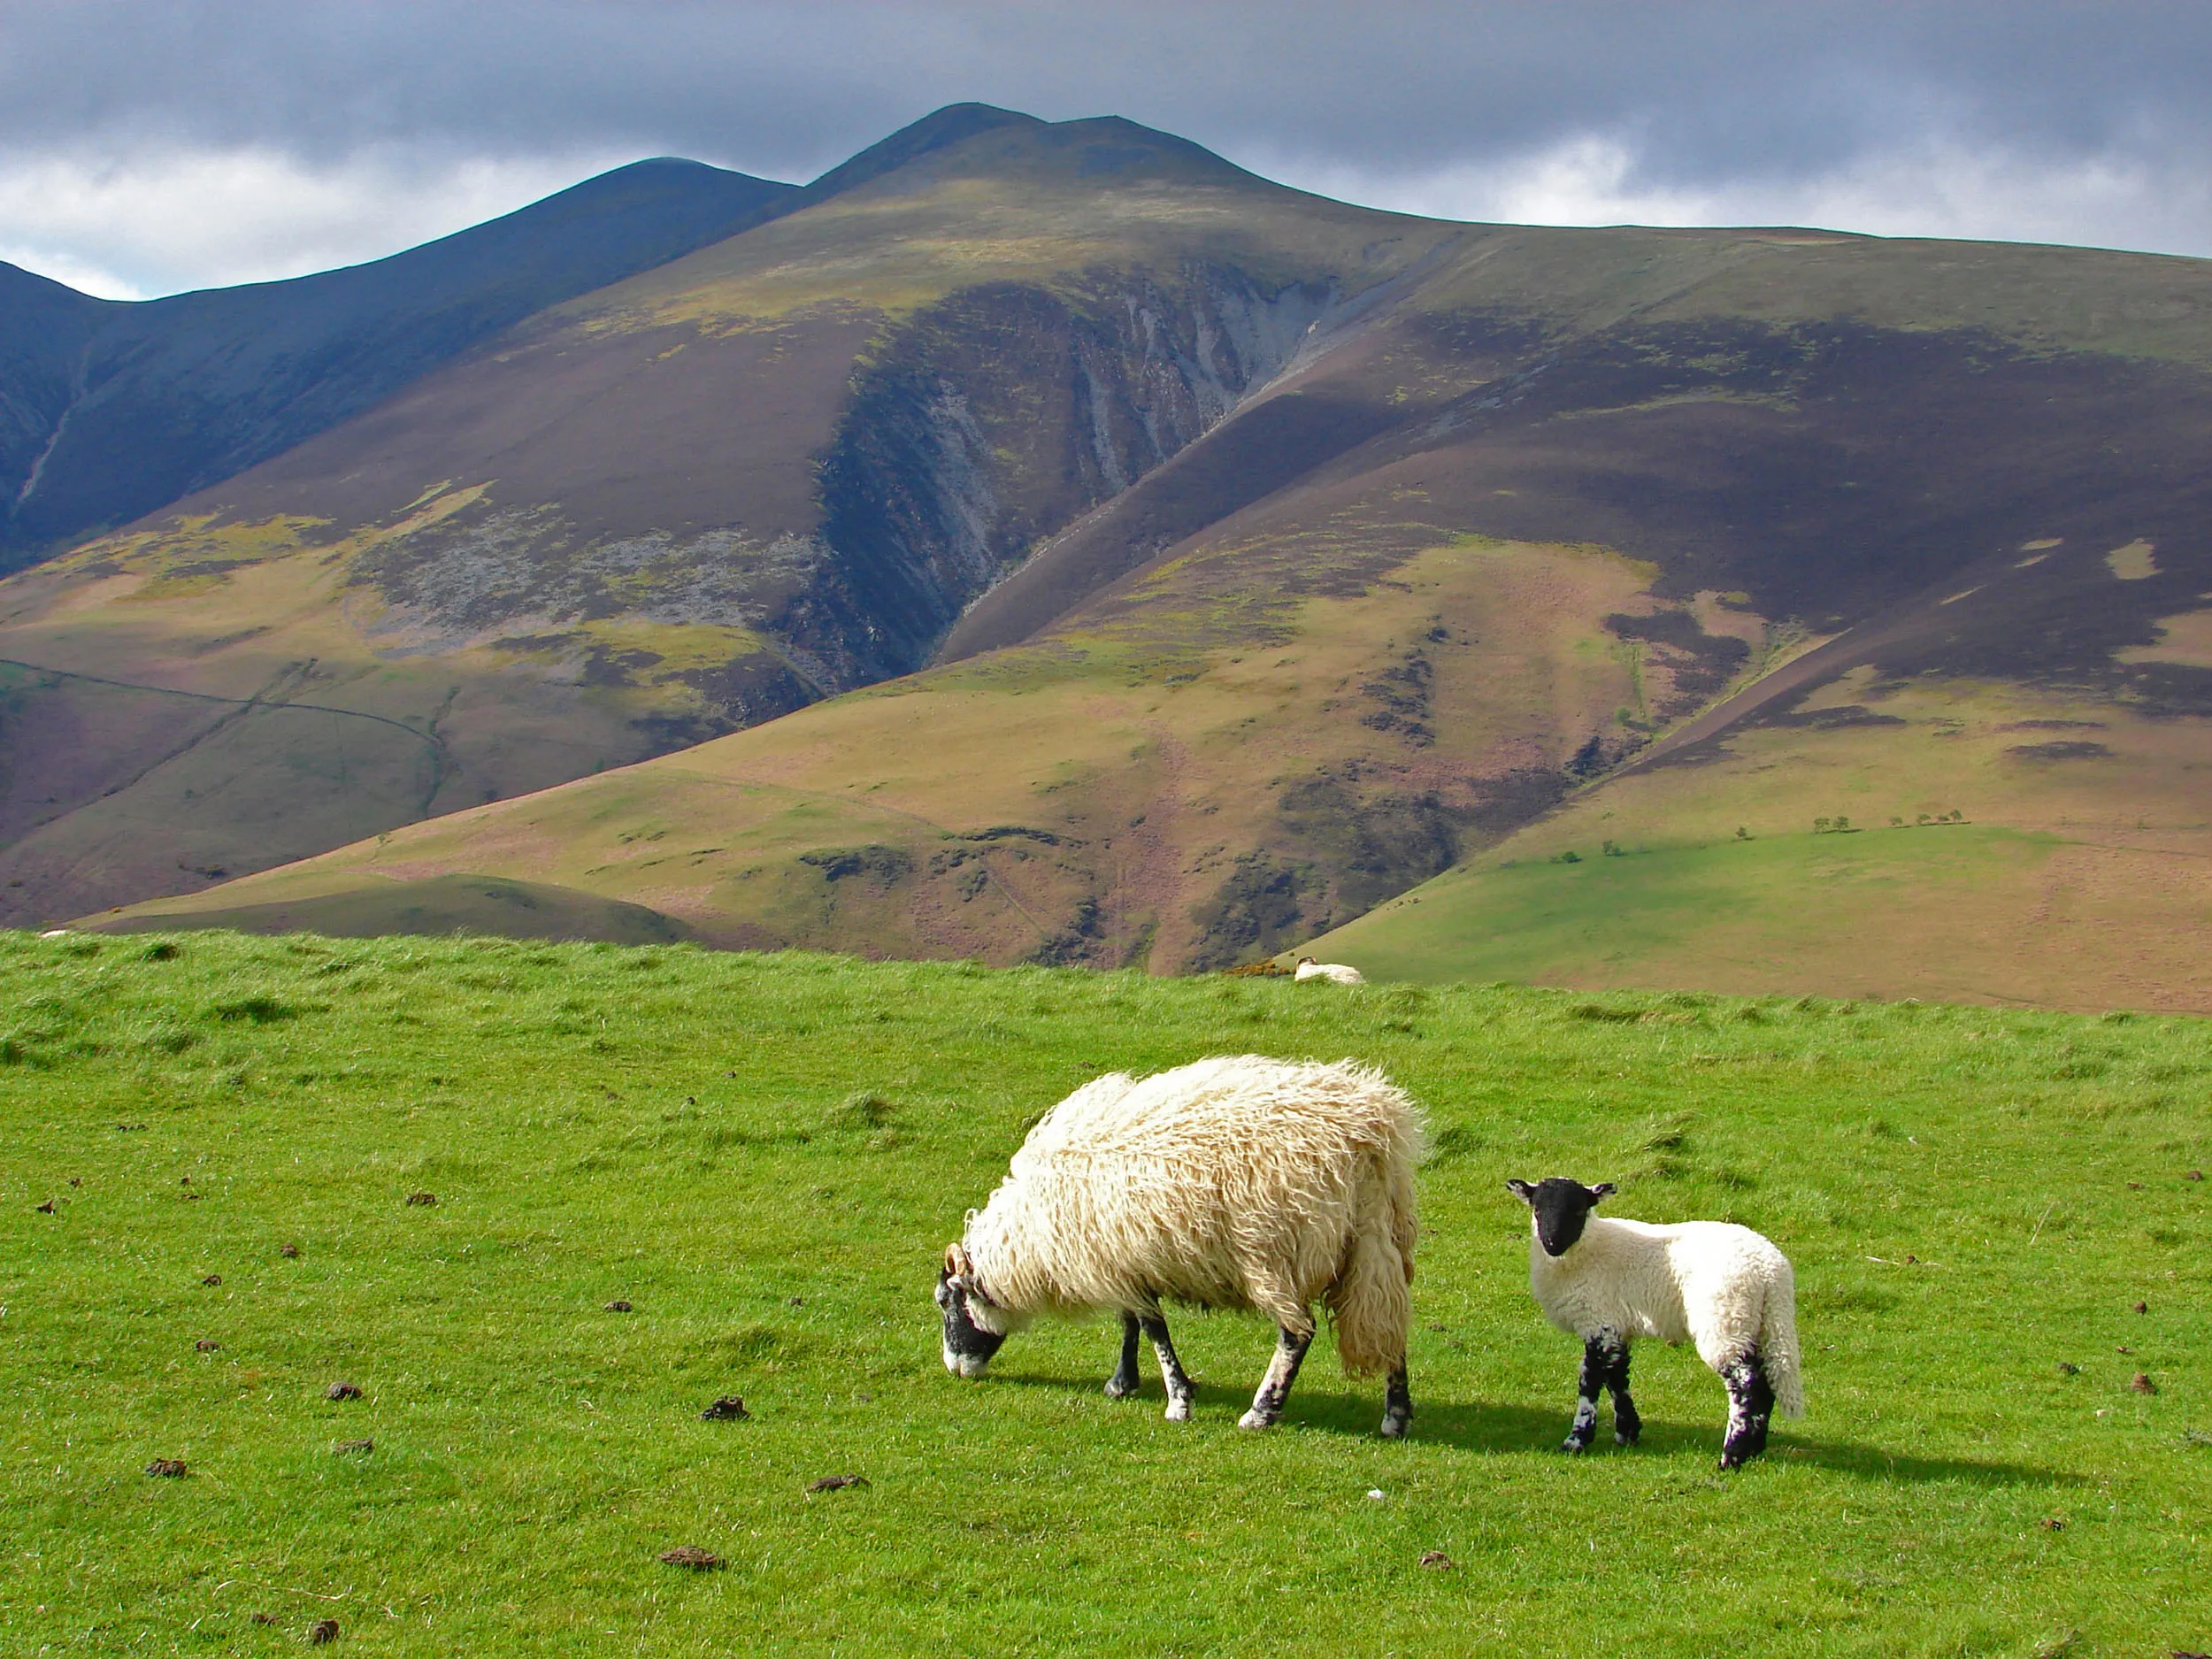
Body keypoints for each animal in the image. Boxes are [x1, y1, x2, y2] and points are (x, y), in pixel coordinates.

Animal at [936, 1055, 1426, 1436]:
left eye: (945, 1301)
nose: (954, 1368)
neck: (1029, 1237)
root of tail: (1368, 1136)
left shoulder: (1123, 1261)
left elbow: (1153, 1329)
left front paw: (1177, 1401)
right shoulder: (1124, 1258)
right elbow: (1131, 1323)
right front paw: (1123, 1382)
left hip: (1276, 1251)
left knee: (1297, 1333)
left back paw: (1260, 1412)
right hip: (1380, 1240)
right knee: (1388, 1320)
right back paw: (1396, 1417)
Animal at [1505, 1177, 1802, 1469]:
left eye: (1579, 1211)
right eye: (1537, 1209)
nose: (1552, 1243)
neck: (1589, 1249)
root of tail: (1770, 1270)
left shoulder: (1599, 1320)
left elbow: (1590, 1381)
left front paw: (1576, 1440)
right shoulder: (1617, 1325)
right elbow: (1617, 1378)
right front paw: (1628, 1432)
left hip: (1726, 1318)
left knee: (1747, 1383)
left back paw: (1732, 1456)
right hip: (1758, 1323)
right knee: (1766, 1382)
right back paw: (1754, 1449)